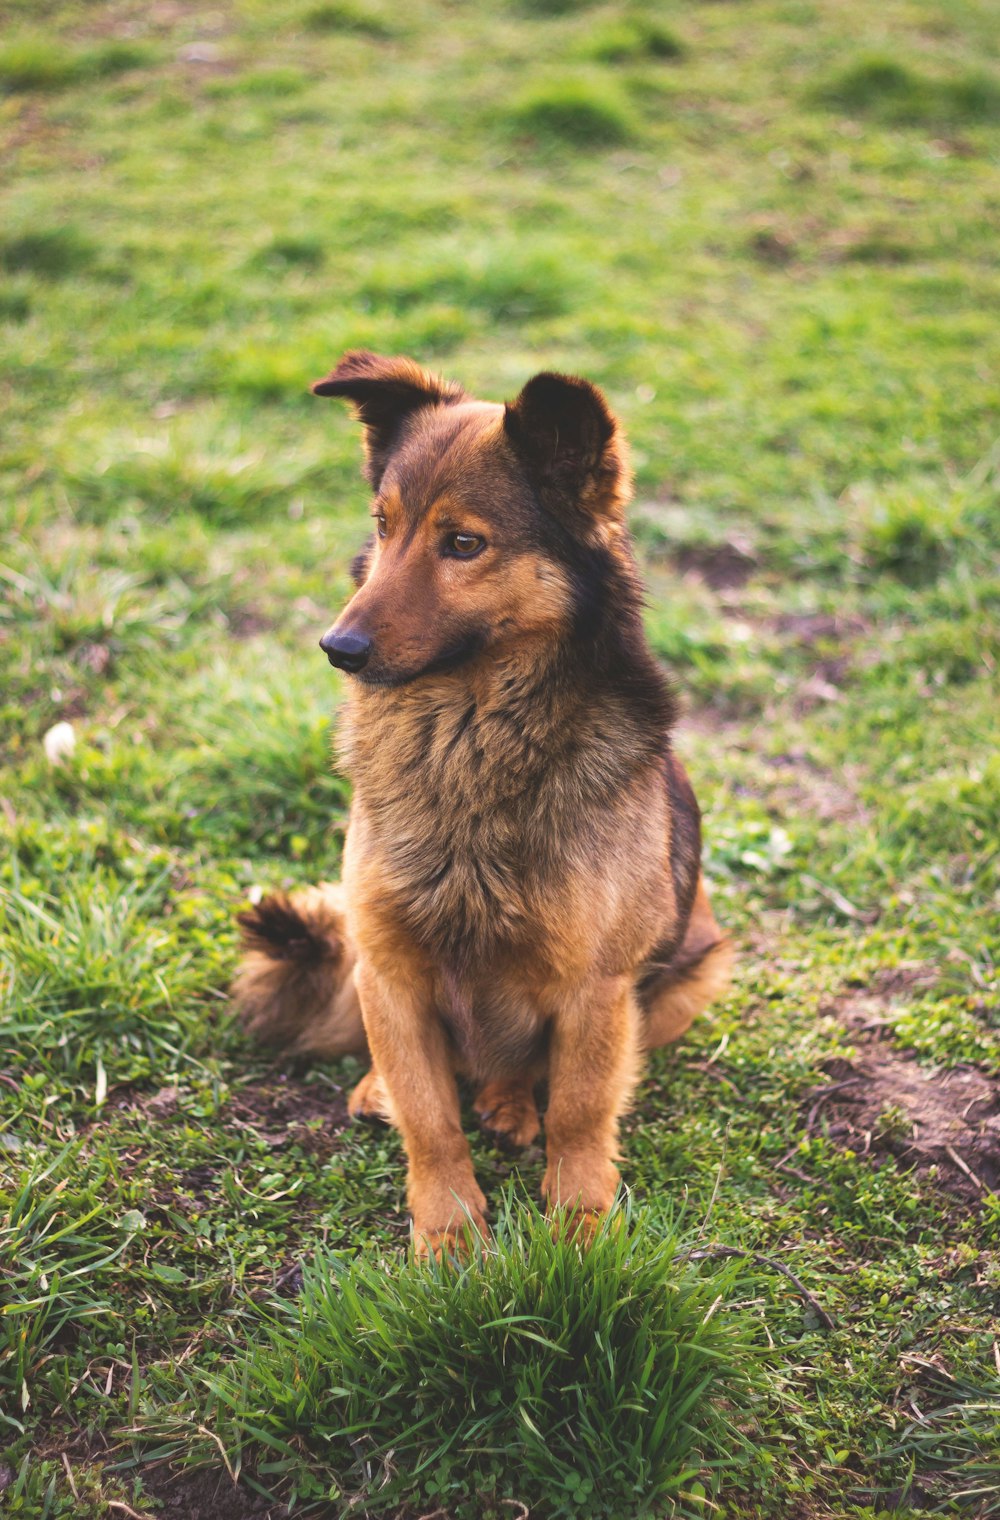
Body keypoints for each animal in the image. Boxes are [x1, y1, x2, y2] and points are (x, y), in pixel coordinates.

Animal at [234, 349, 732, 1252]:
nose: (337, 648)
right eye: (383, 525)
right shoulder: (389, 966)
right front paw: (448, 1233)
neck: (464, 737)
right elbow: (431, 1117)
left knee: (525, 1073)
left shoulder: (596, 988)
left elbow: (578, 1110)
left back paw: (508, 1105)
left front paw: (579, 1227)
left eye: (463, 544)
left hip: (693, 968)